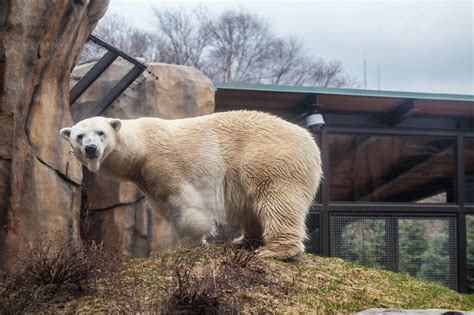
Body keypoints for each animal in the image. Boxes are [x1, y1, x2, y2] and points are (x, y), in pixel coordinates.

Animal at [60, 111, 322, 260]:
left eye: (100, 132)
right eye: (79, 136)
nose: (90, 148)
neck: (140, 147)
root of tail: (309, 140)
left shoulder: (163, 164)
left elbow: (183, 203)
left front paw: (191, 243)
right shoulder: (145, 177)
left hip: (270, 159)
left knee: (277, 201)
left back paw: (276, 250)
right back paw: (243, 241)